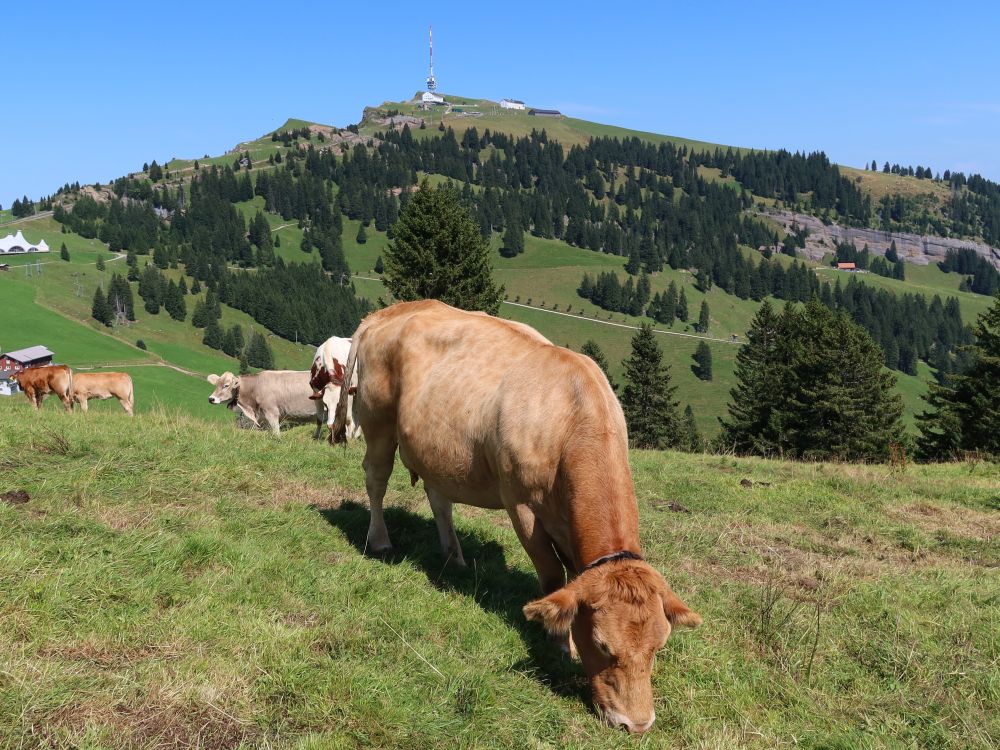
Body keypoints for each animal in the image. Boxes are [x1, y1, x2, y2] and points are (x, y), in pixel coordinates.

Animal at [332, 302, 700, 736]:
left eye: (660, 645)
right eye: (601, 644)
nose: (636, 724)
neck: (571, 420)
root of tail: (394, 310)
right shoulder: (522, 505)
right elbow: (552, 574)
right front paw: (559, 641)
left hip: (436, 445)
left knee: (438, 498)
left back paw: (454, 556)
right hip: (378, 422)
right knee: (375, 478)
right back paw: (381, 540)